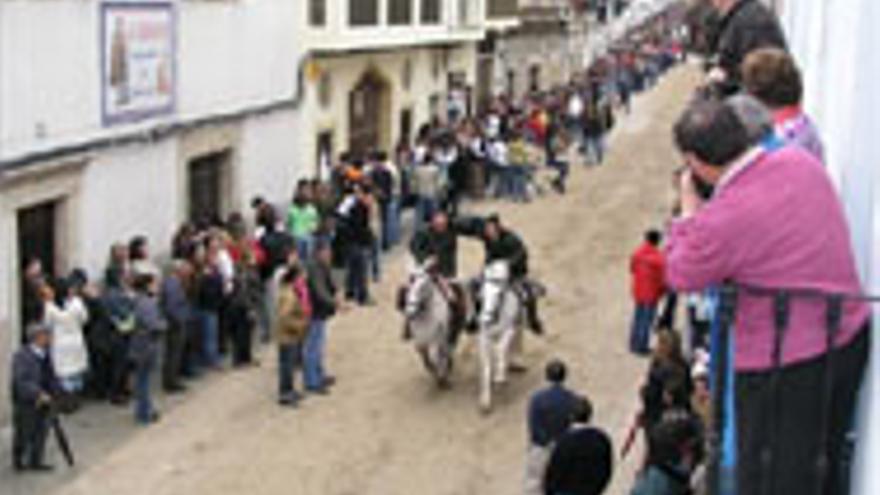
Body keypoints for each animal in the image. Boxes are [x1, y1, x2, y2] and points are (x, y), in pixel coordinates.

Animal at [478, 262, 524, 412]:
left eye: (499, 294)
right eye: (482, 294)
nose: (485, 320)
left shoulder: (509, 331)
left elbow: (500, 349)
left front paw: (500, 378)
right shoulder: (484, 337)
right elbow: (486, 367)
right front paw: (485, 401)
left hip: (518, 324)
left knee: (515, 341)